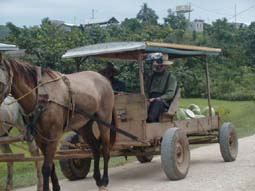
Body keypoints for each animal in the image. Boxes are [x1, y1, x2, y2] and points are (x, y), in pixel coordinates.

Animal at [0, 58, 116, 191]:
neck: (41, 97)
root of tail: (104, 80)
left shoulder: (53, 136)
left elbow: (46, 167)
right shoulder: (40, 138)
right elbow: (50, 165)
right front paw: (56, 187)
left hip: (104, 120)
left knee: (105, 149)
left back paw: (105, 180)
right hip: (84, 125)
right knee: (96, 147)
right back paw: (97, 179)